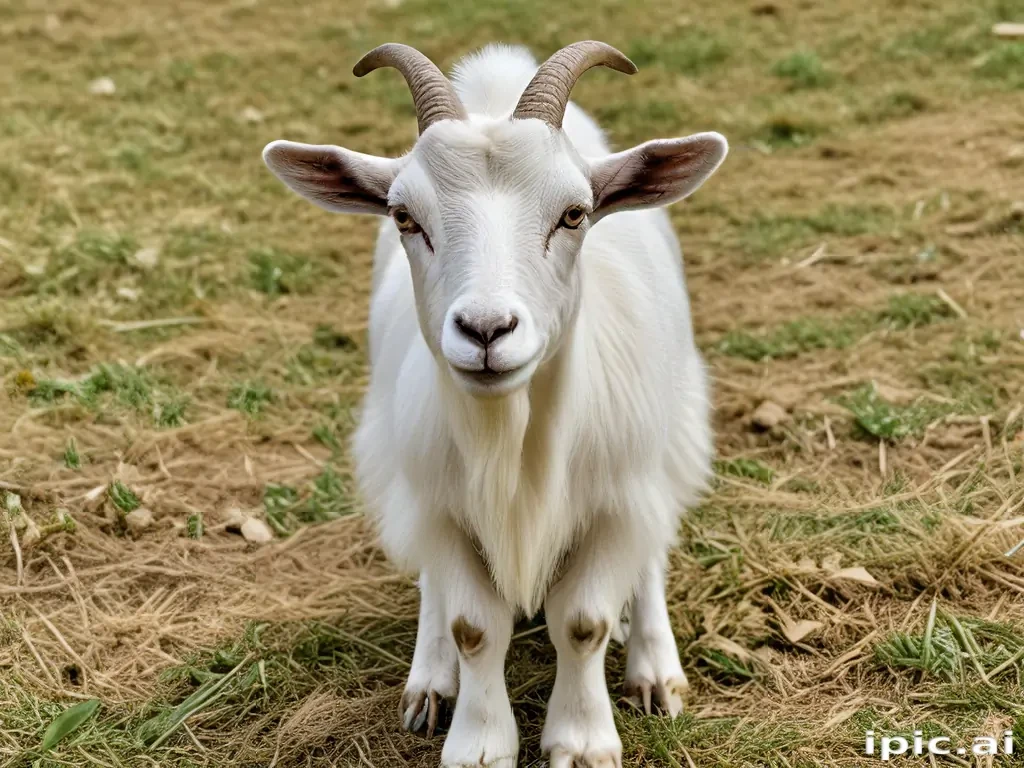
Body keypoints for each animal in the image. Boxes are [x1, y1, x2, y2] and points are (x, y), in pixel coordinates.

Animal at [263, 40, 727, 768]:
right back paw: (430, 678)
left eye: (575, 213)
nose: (485, 330)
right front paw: (478, 740)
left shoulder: (618, 495)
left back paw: (654, 666)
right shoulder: (440, 503)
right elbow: (472, 625)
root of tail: (499, 74)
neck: (510, 434)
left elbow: (585, 620)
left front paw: (582, 740)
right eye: (404, 216)